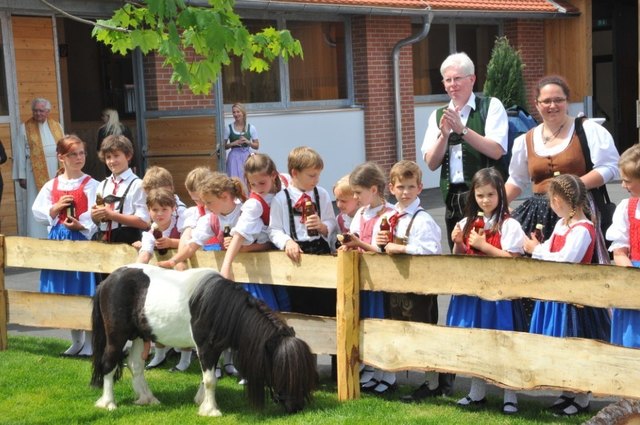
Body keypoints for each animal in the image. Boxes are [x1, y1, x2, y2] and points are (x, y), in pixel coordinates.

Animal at [90, 264, 318, 416]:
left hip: (139, 335)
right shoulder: (206, 347)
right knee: (109, 363)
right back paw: (108, 403)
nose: (296, 407)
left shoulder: (214, 349)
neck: (219, 307)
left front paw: (201, 401)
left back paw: (148, 399)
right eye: (282, 370)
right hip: (117, 336)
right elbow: (210, 380)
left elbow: (208, 375)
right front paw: (210, 410)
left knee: (135, 365)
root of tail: (108, 280)